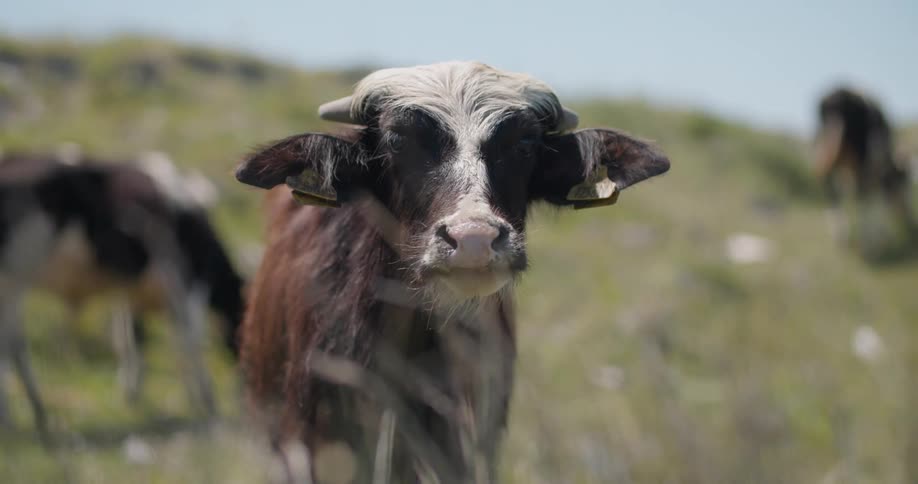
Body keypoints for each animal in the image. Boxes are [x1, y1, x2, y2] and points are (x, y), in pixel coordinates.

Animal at [0, 153, 244, 442]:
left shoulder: (130, 291)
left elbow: (131, 340)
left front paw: (132, 392)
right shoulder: (185, 283)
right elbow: (189, 342)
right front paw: (206, 401)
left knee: (13, 344)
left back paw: (33, 413)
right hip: (16, 276)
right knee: (12, 344)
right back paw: (23, 414)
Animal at [814, 86, 917, 246]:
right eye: (905, 185)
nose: (910, 222)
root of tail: (838, 96)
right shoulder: (877, 173)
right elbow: (876, 200)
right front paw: (880, 233)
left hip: (825, 151)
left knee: (833, 192)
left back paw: (841, 235)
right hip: (861, 162)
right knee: (860, 196)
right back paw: (865, 239)